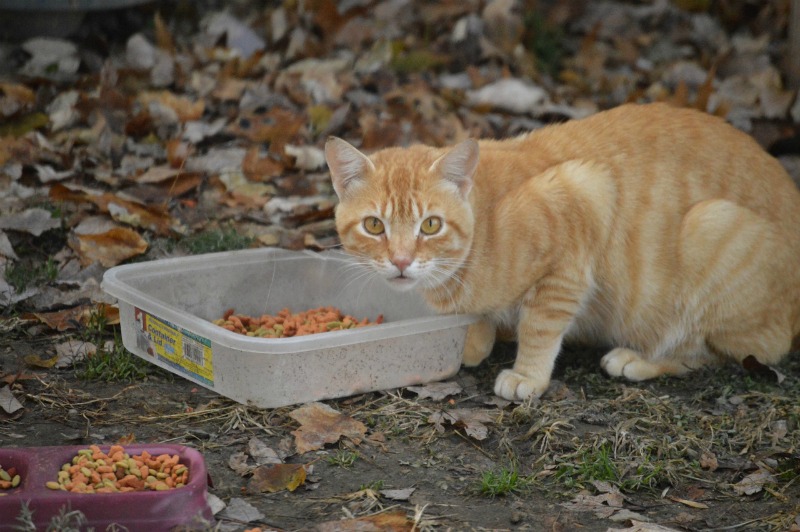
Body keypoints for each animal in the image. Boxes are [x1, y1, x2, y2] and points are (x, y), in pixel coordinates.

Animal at [324, 104, 800, 400]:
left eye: (430, 225)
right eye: (374, 225)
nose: (402, 261)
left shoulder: (583, 200)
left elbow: (540, 325)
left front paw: (527, 376)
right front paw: (474, 339)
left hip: (710, 226)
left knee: (712, 353)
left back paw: (639, 360)